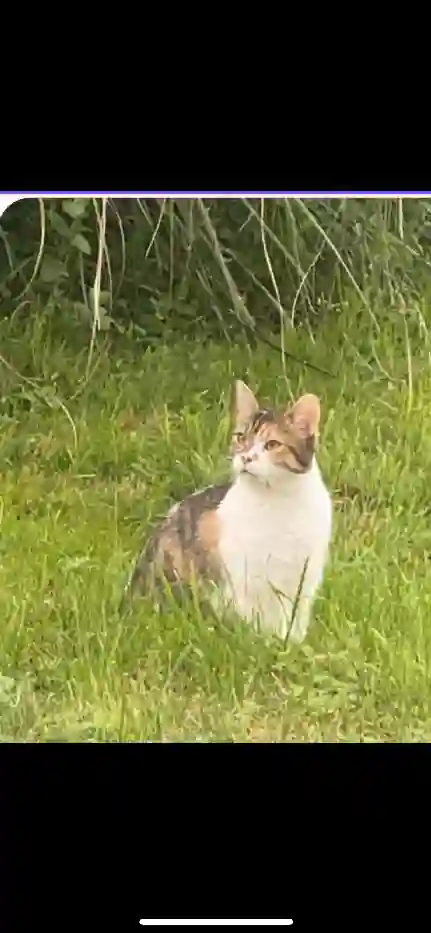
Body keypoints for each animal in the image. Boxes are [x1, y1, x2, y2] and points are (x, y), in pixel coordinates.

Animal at [125, 378, 334, 640]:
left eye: (272, 444)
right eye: (241, 438)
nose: (246, 458)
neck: (278, 499)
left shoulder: (304, 578)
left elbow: (295, 619)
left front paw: (291, 643)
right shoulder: (244, 576)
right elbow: (253, 618)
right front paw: (260, 641)